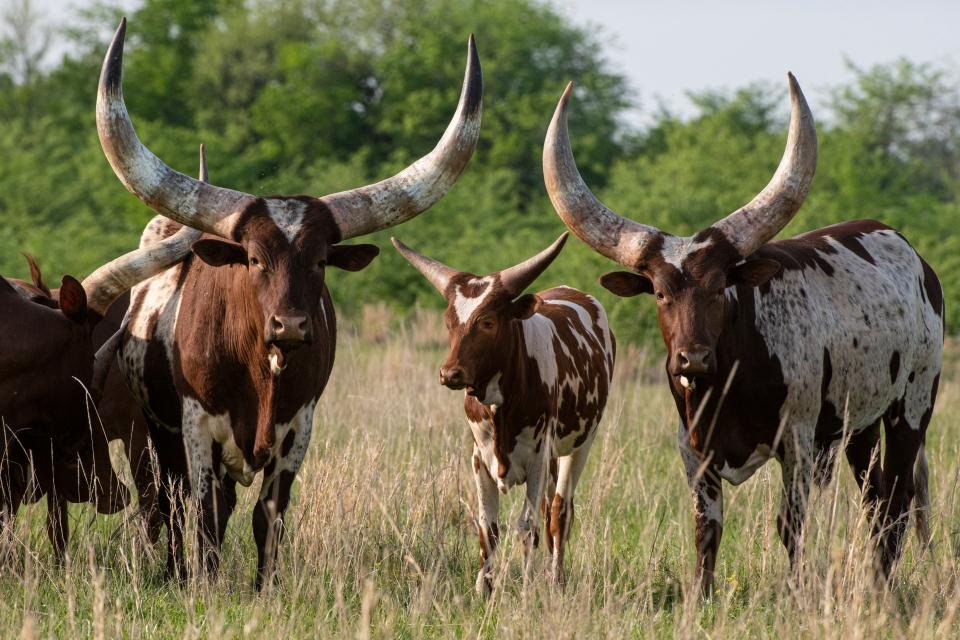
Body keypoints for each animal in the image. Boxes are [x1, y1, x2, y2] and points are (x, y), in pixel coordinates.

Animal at [96, 18, 484, 592]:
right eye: (254, 259)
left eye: (321, 260)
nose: (292, 325)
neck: (260, 373)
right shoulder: (196, 425)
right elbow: (201, 511)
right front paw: (204, 585)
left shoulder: (299, 427)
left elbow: (268, 514)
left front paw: (265, 587)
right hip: (157, 433)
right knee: (169, 502)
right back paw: (176, 571)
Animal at [390, 234, 616, 596]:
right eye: (449, 323)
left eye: (487, 322)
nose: (450, 373)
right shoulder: (478, 458)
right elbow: (488, 525)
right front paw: (484, 587)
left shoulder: (538, 457)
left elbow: (527, 525)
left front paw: (527, 589)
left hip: (580, 445)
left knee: (558, 511)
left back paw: (555, 578)